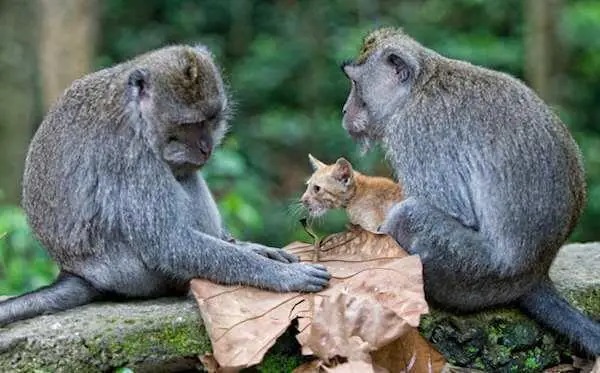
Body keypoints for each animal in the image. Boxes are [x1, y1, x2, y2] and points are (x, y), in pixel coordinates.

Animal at [0, 44, 330, 326]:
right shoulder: (128, 153)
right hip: (133, 275)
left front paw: (252, 248)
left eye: (210, 119)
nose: (205, 146)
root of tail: (76, 272)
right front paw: (283, 275)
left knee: (184, 174)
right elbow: (168, 243)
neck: (136, 112)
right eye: (187, 125)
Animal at [342, 27, 600, 354]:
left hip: (477, 273)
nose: (345, 110)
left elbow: (454, 211)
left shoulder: (417, 133)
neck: (419, 87)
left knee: (410, 215)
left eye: (355, 83)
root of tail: (537, 272)